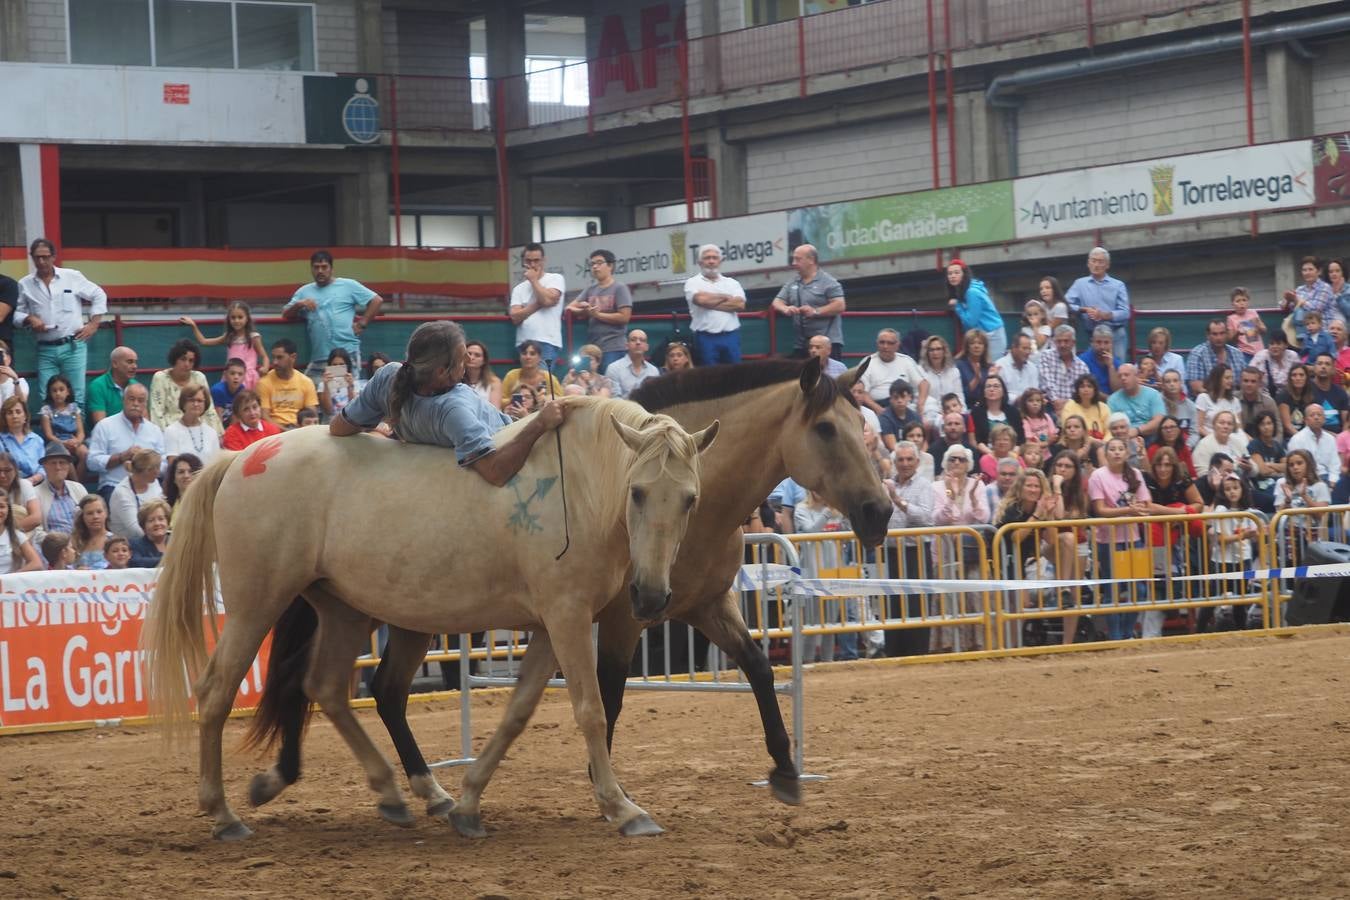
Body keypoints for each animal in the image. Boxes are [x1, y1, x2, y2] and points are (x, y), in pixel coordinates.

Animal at [139, 396, 718, 841]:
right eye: (637, 492)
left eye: (691, 499)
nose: (651, 596)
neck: (577, 485)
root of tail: (242, 459)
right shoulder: (568, 618)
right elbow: (591, 711)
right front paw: (623, 809)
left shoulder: (549, 628)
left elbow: (517, 714)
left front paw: (468, 803)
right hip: (257, 605)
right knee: (216, 691)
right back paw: (222, 813)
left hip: (344, 612)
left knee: (326, 687)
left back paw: (397, 793)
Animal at [248, 356, 891, 836]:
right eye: (826, 428)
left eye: (863, 421)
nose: (879, 512)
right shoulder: (620, 616)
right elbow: (608, 695)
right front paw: (609, 789)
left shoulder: (704, 604)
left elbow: (758, 666)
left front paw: (785, 770)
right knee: (334, 683)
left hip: (402, 613)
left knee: (375, 690)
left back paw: (413, 790)